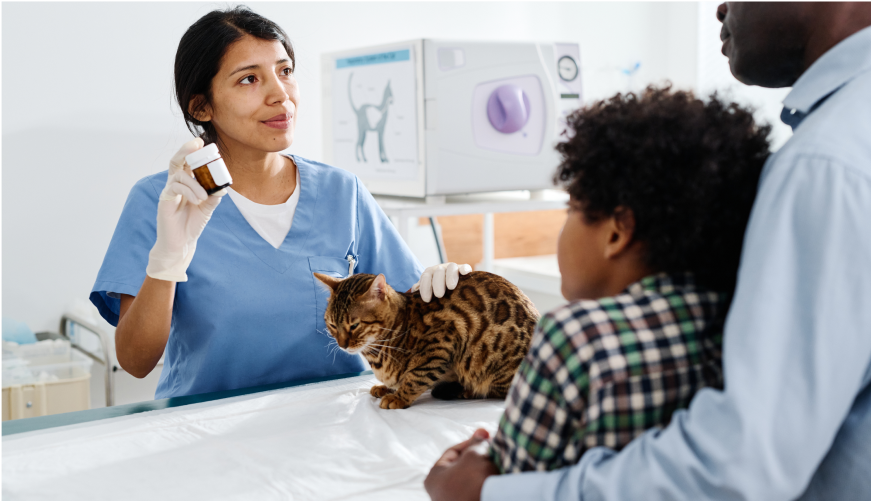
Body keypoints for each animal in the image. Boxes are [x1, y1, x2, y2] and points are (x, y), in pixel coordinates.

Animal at [316, 272, 540, 408]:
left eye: (354, 325)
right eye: (332, 325)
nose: (342, 344)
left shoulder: (441, 341)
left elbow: (415, 377)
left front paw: (398, 396)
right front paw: (387, 387)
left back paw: (465, 391)